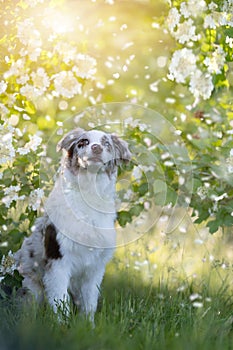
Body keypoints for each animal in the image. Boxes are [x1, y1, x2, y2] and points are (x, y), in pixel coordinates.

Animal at [14, 127, 131, 322]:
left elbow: (89, 303)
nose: (97, 147)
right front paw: (62, 325)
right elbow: (59, 300)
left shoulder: (95, 267)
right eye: (83, 142)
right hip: (31, 288)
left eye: (106, 143)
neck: (88, 193)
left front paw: (88, 325)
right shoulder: (59, 261)